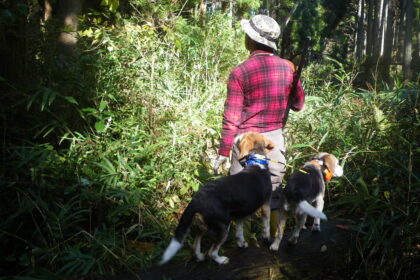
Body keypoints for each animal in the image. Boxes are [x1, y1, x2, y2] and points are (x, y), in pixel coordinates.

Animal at [159, 133, 274, 264]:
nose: (236, 135)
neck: (256, 162)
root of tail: (197, 199)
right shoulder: (266, 204)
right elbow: (266, 223)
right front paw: (266, 237)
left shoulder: (240, 215)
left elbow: (239, 233)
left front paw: (242, 244)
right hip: (223, 226)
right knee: (211, 252)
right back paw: (221, 260)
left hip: (206, 224)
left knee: (196, 243)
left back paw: (199, 257)